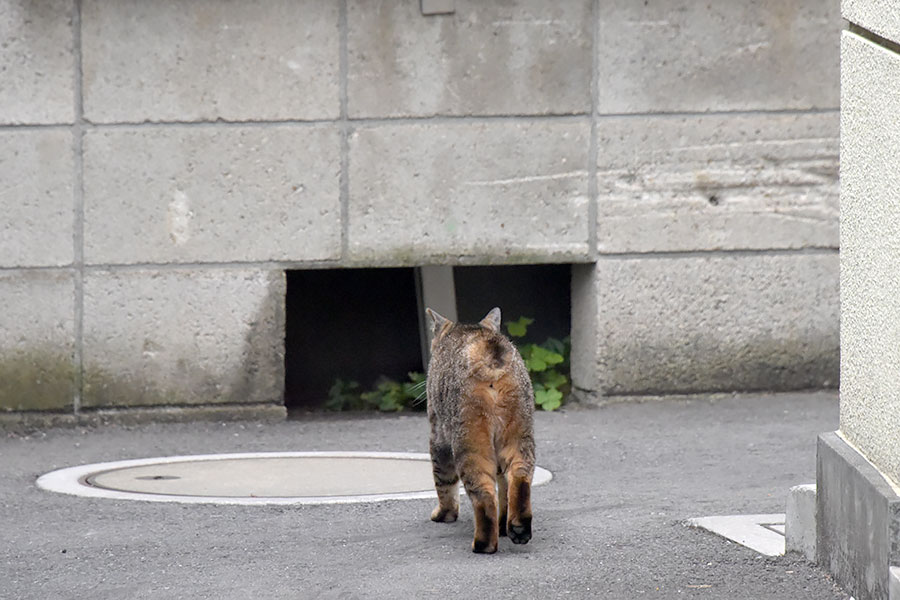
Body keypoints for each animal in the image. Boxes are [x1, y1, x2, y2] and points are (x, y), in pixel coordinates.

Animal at [424, 308, 536, 556]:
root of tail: (487, 347)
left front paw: (444, 514)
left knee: (484, 496)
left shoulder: (438, 436)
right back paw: (517, 527)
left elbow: (443, 481)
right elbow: (505, 490)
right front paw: (504, 526)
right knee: (519, 478)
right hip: (519, 437)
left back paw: (484, 544)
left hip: (469, 445)